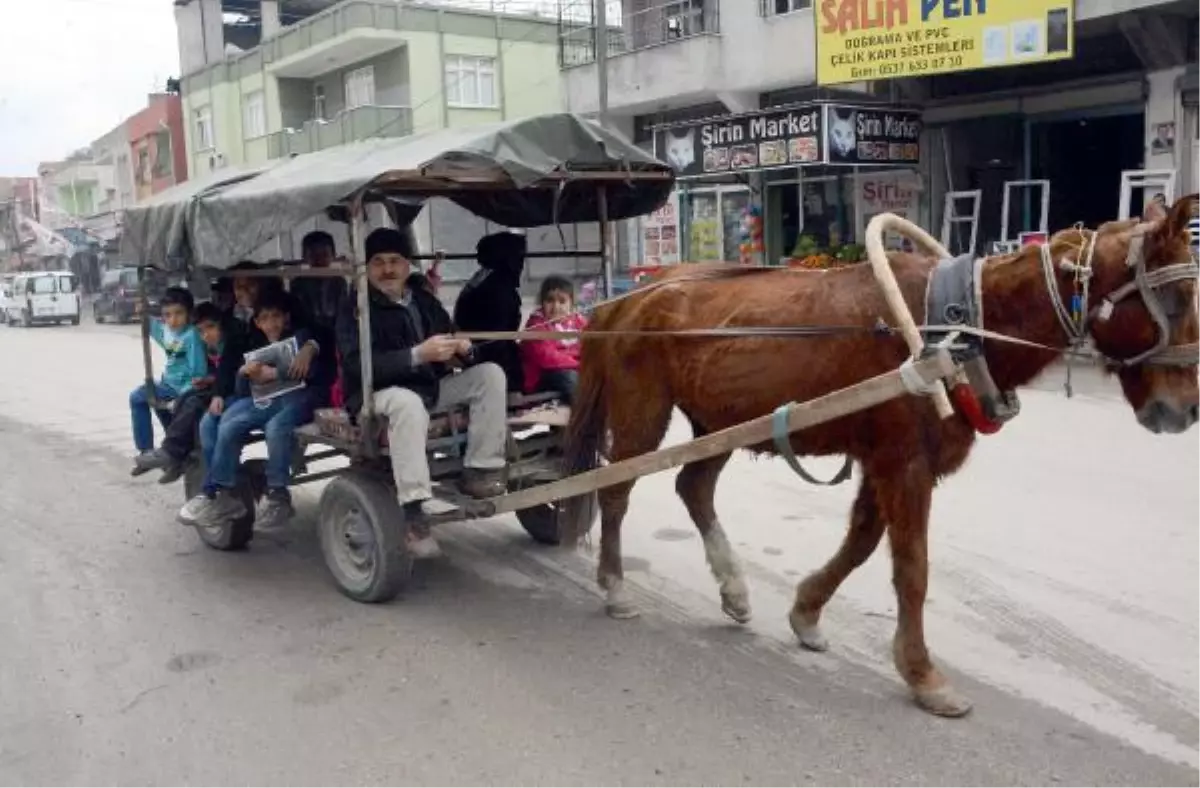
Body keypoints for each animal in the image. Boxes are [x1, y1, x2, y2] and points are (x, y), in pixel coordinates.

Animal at [559, 193, 1200, 714]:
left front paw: (806, 613)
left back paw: (734, 589)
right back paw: (615, 587)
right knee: (615, 490)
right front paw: (923, 674)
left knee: (693, 487)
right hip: (643, 411)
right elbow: (911, 568)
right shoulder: (904, 462)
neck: (955, 326)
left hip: (720, 421)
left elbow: (863, 541)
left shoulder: (886, 460)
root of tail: (623, 302)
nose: (1184, 410)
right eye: (1174, 296)